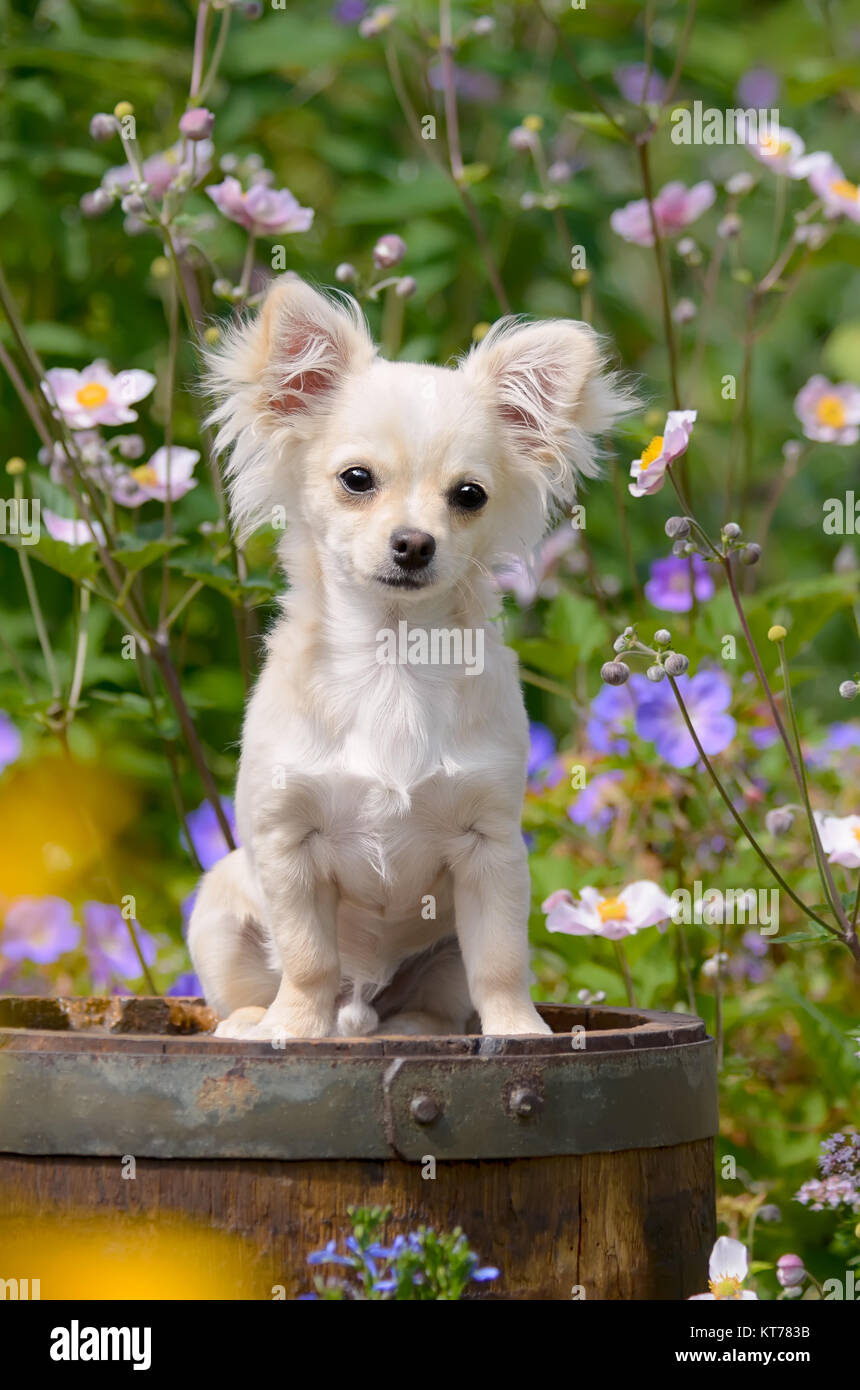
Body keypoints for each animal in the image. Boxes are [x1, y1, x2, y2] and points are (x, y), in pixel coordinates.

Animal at [188, 276, 625, 1039]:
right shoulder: (287, 846)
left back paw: (414, 1030)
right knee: (260, 986)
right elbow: (307, 958)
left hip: (437, 962)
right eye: (357, 479)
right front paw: (294, 1029)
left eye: (469, 496)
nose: (415, 543)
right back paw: (255, 1022)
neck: (392, 662)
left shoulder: (492, 852)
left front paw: (519, 1032)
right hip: (217, 907)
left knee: (436, 1001)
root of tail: (362, 1007)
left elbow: (501, 961)